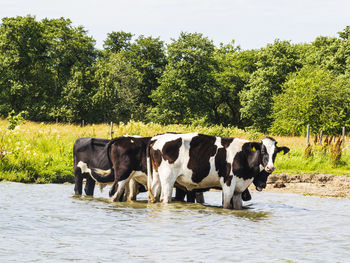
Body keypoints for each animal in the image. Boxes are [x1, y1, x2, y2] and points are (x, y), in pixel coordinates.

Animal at [148, 134, 290, 210]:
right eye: (262, 150)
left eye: (275, 153)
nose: (270, 167)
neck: (243, 157)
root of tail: (156, 139)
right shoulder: (228, 183)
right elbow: (226, 205)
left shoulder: (239, 189)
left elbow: (237, 207)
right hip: (168, 178)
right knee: (165, 199)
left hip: (156, 177)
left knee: (154, 196)